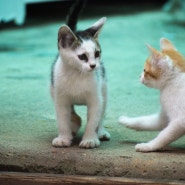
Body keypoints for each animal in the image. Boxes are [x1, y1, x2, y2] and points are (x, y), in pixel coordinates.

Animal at [50, 0, 110, 149]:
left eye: (97, 53)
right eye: (82, 56)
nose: (94, 65)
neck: (77, 74)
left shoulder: (95, 99)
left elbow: (93, 120)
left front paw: (90, 139)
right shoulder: (61, 98)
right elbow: (62, 119)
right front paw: (64, 138)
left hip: (104, 89)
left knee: (102, 113)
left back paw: (101, 132)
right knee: (72, 113)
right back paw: (74, 124)